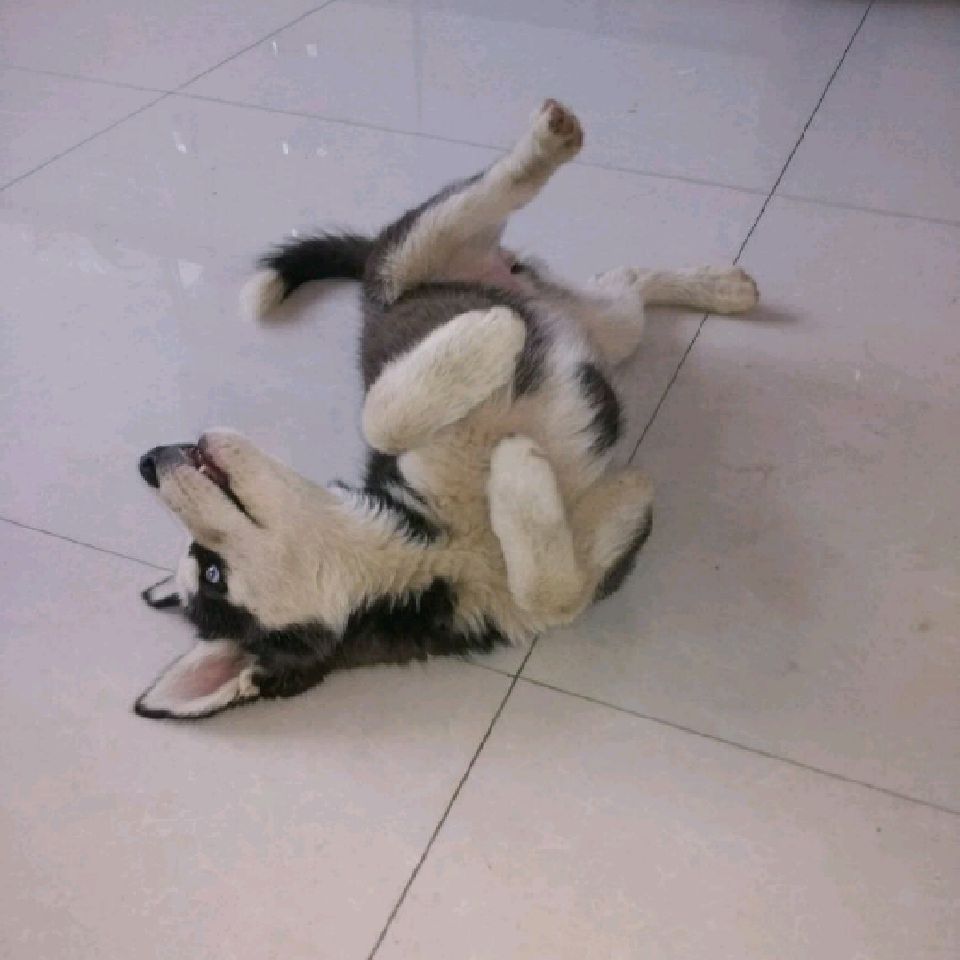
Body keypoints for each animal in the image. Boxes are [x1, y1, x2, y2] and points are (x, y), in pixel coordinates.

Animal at [135, 100, 758, 720]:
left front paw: (489, 336)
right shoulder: (582, 579)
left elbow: (379, 416)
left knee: (513, 207)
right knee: (617, 286)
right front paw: (522, 471)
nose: (149, 460)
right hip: (604, 330)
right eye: (212, 572)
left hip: (420, 254)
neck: (433, 557)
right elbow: (554, 593)